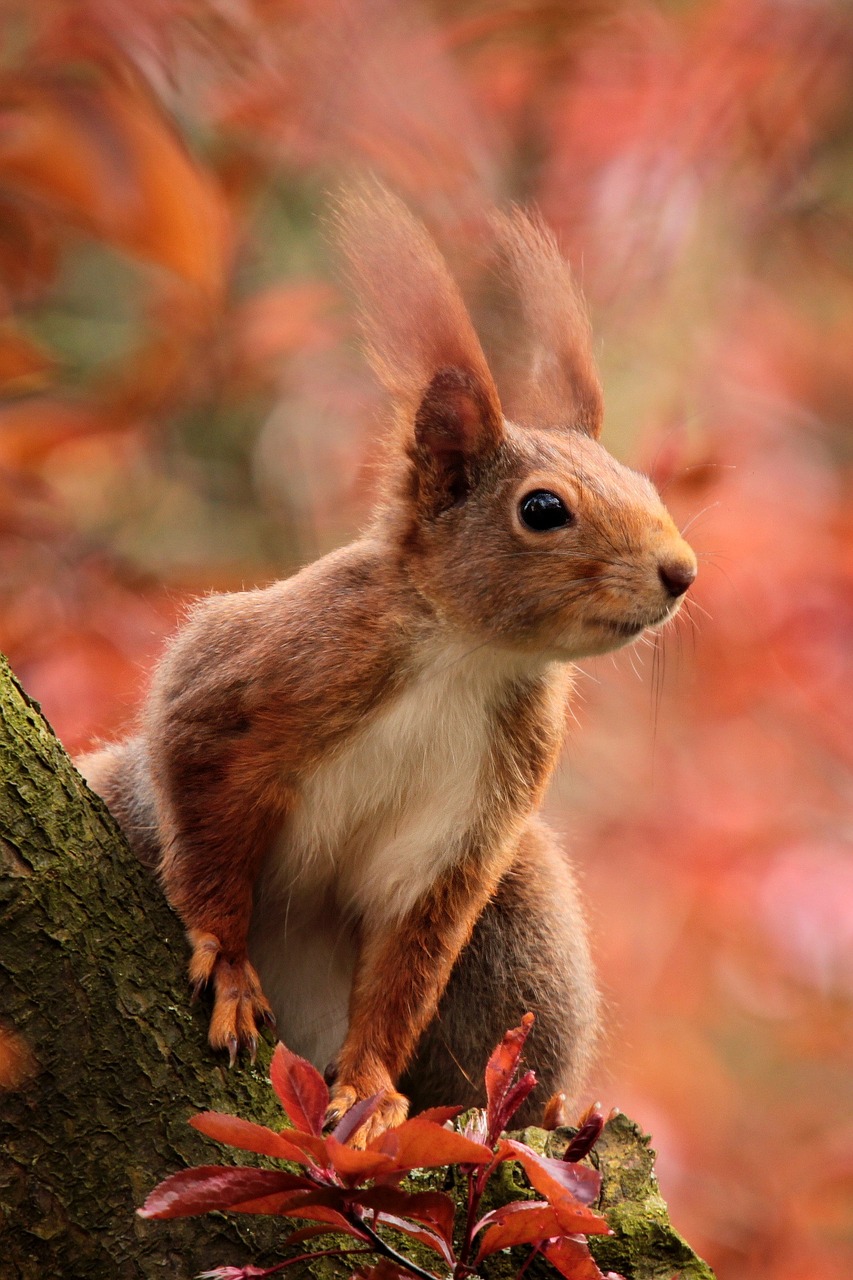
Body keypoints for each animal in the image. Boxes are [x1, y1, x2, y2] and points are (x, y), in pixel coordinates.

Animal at [79, 183, 696, 1152]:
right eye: (542, 509)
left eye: (645, 484)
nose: (681, 572)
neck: (468, 658)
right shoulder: (253, 678)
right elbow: (203, 811)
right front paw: (227, 964)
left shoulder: (466, 831)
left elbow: (409, 963)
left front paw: (371, 1093)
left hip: (527, 916)